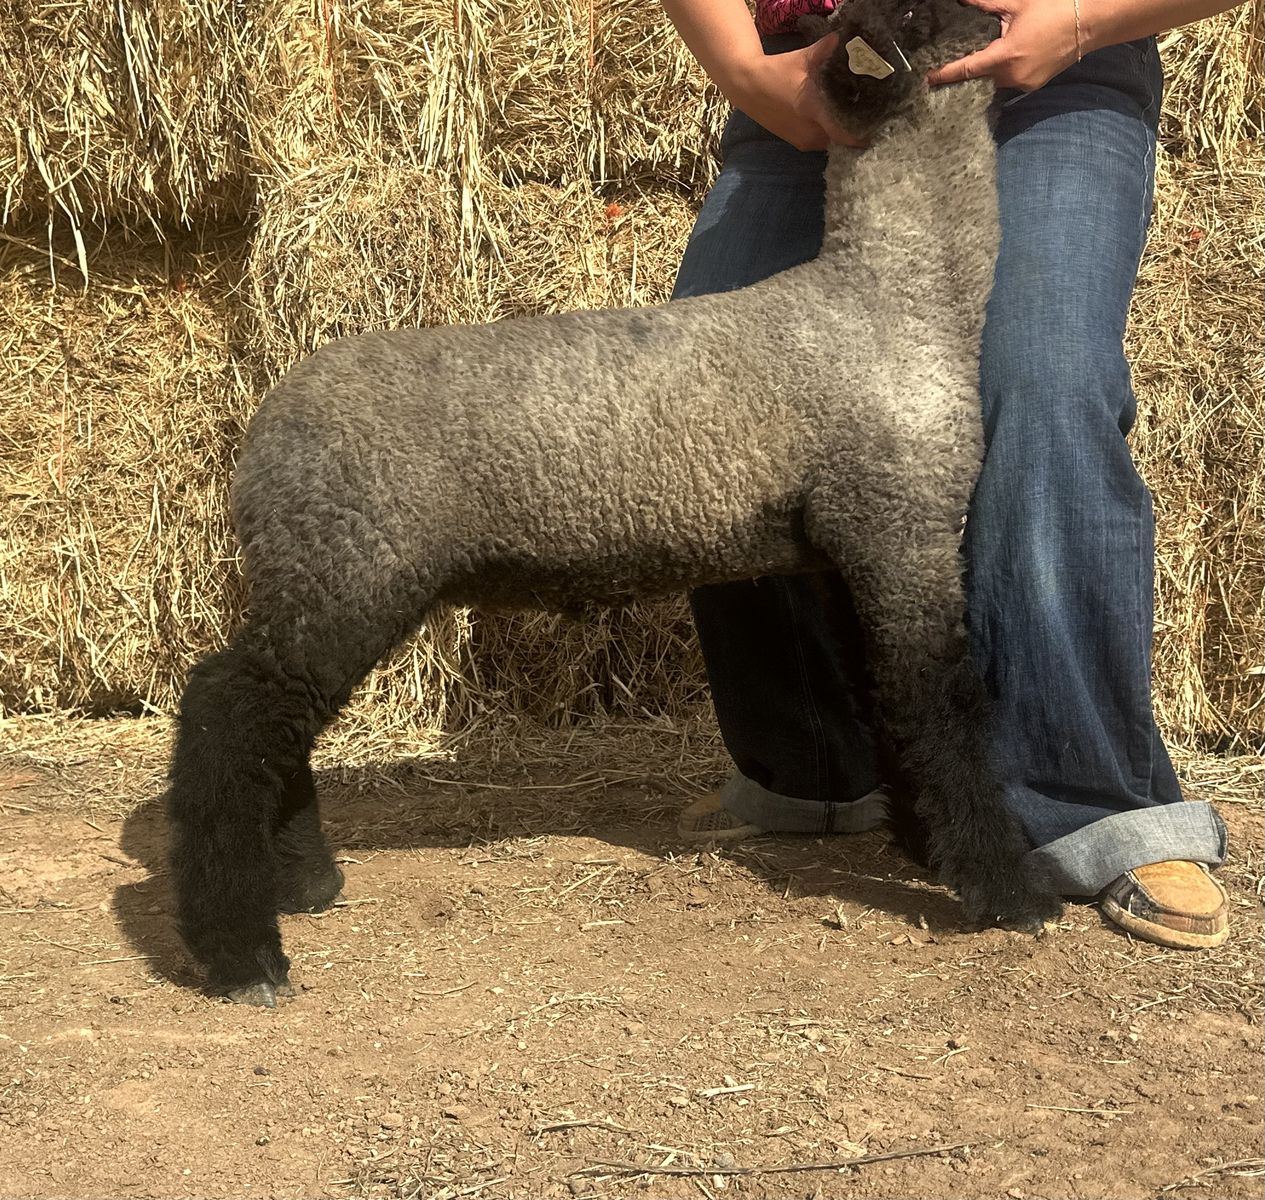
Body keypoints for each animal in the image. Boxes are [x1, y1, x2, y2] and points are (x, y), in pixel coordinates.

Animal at [166, 0, 1064, 1007]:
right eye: (920, 10)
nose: (1003, 17)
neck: (893, 296)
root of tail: (264, 429)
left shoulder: (848, 551)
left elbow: (888, 697)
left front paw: (924, 845)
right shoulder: (901, 527)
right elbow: (940, 700)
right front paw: (1006, 889)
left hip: (333, 578)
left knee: (271, 724)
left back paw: (303, 882)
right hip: (348, 569)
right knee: (227, 716)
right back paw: (241, 948)